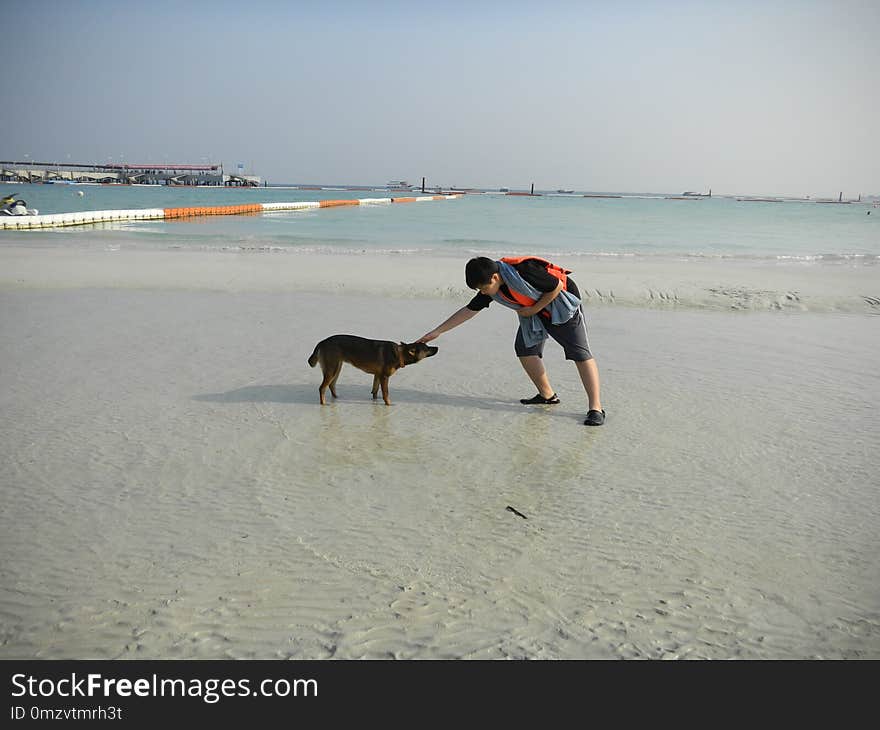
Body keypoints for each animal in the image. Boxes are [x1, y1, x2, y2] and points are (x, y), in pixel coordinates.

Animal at [308, 334, 438, 404]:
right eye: (427, 348)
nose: (437, 347)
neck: (400, 353)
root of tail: (322, 342)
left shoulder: (377, 375)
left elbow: (375, 390)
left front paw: (375, 401)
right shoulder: (384, 377)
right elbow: (386, 393)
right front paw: (388, 404)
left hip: (337, 368)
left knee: (331, 385)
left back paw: (336, 398)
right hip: (332, 369)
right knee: (322, 388)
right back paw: (324, 403)